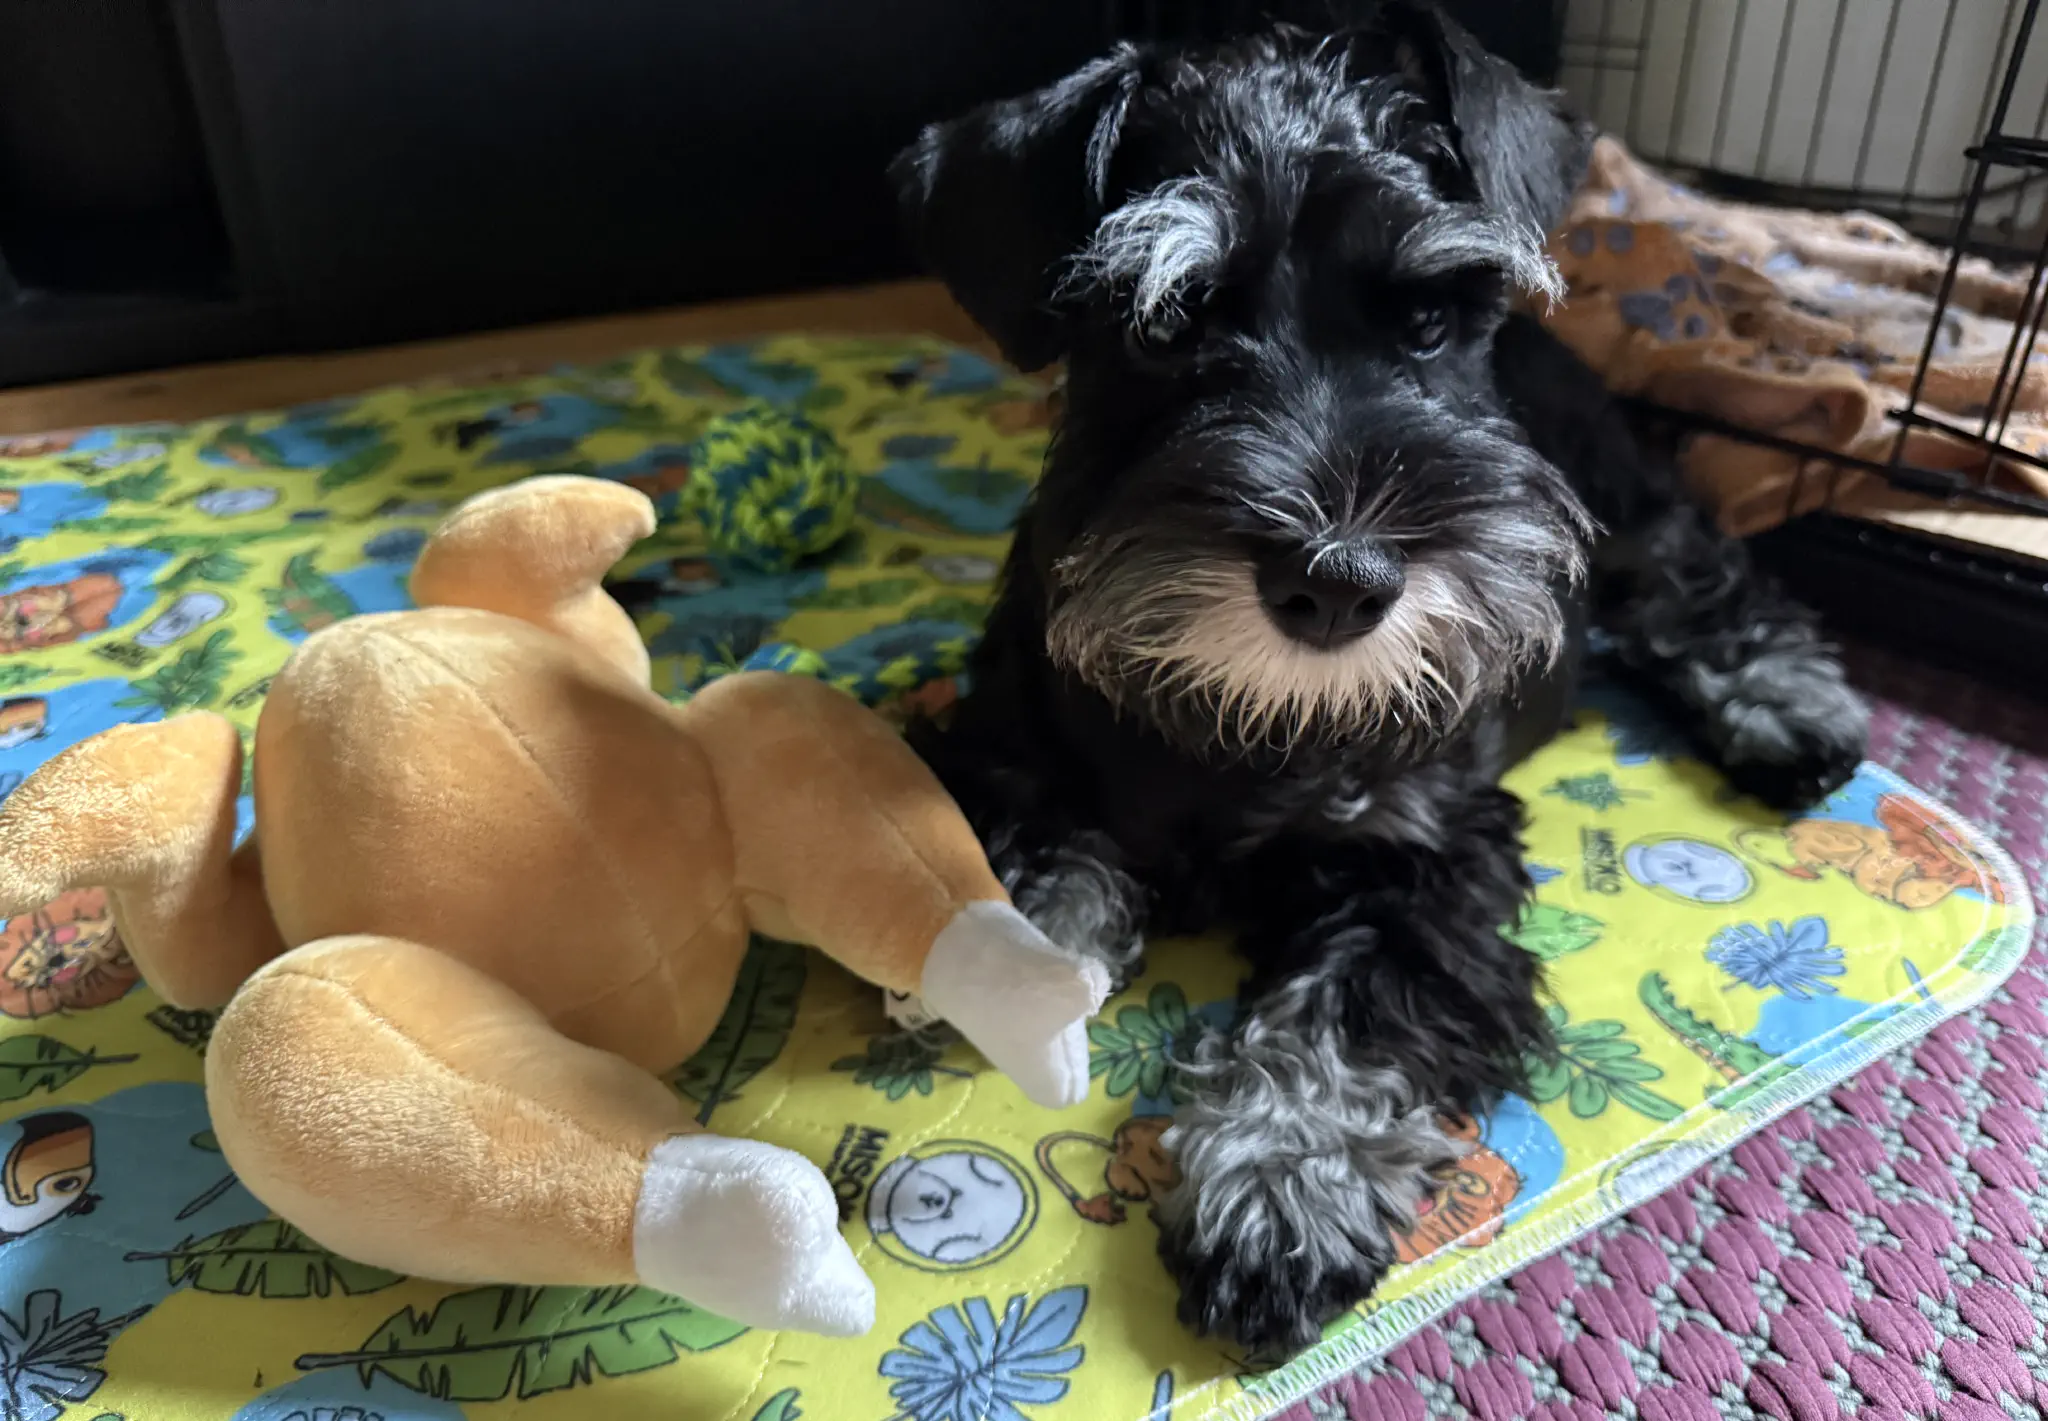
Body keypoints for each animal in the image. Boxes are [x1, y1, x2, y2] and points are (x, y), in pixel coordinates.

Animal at [892, 1, 1867, 1354]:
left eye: (1426, 324)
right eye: (1163, 325)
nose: (1338, 584)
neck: (1246, 717)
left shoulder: (1425, 860)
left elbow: (1342, 1017)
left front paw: (1281, 1186)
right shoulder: (1002, 743)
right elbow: (1026, 846)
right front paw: (1026, 952)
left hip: (1625, 511)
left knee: (1705, 586)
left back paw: (1786, 713)